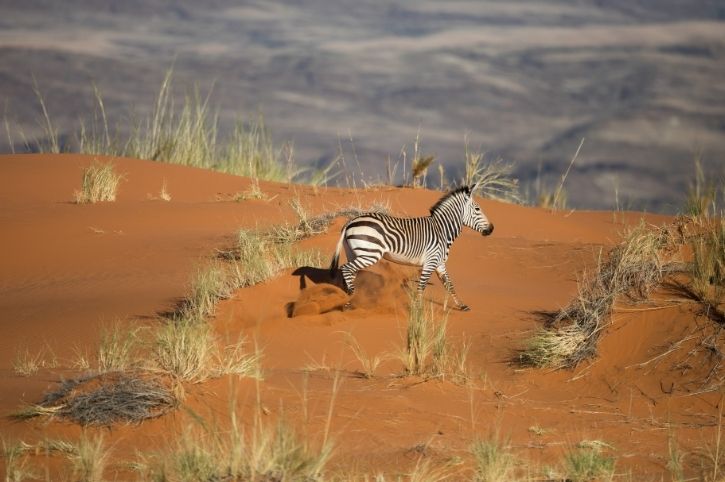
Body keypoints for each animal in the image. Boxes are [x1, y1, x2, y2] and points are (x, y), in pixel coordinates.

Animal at [329, 182, 493, 311]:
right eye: (477, 209)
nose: (492, 229)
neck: (442, 230)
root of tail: (350, 221)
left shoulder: (439, 263)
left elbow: (449, 284)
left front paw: (462, 305)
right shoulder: (430, 262)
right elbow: (422, 286)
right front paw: (418, 309)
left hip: (354, 253)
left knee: (350, 273)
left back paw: (348, 300)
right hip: (370, 253)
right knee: (346, 268)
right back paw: (350, 298)